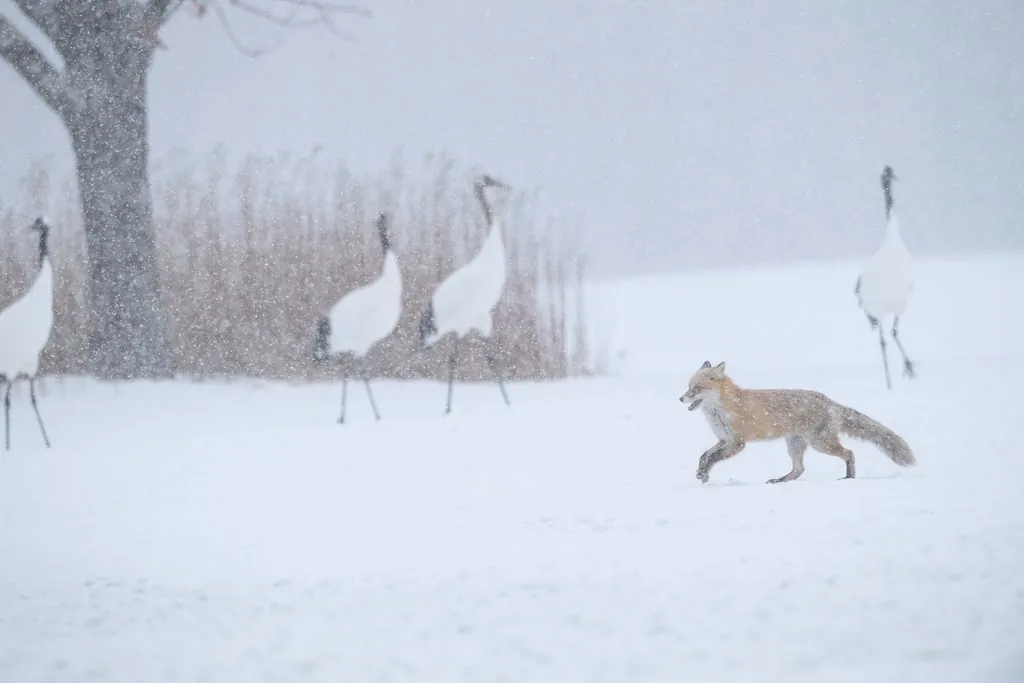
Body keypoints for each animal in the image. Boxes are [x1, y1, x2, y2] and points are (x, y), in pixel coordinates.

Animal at [679, 361, 915, 484]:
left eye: (697, 388)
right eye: (688, 387)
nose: (681, 399)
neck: (721, 411)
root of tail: (829, 401)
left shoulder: (737, 442)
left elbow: (714, 458)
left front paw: (704, 473)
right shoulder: (723, 439)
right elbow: (704, 455)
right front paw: (702, 472)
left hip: (819, 444)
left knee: (849, 453)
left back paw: (849, 477)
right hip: (794, 444)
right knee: (799, 469)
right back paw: (780, 480)